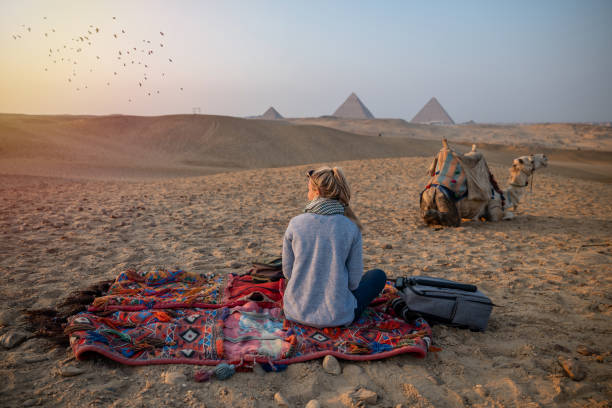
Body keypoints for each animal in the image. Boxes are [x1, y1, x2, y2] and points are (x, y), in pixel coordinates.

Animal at [420, 140, 548, 226]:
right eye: (531, 160)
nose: (544, 156)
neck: (504, 197)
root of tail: (432, 189)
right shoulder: (494, 209)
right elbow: (509, 215)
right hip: (443, 198)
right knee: (453, 219)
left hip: (426, 199)